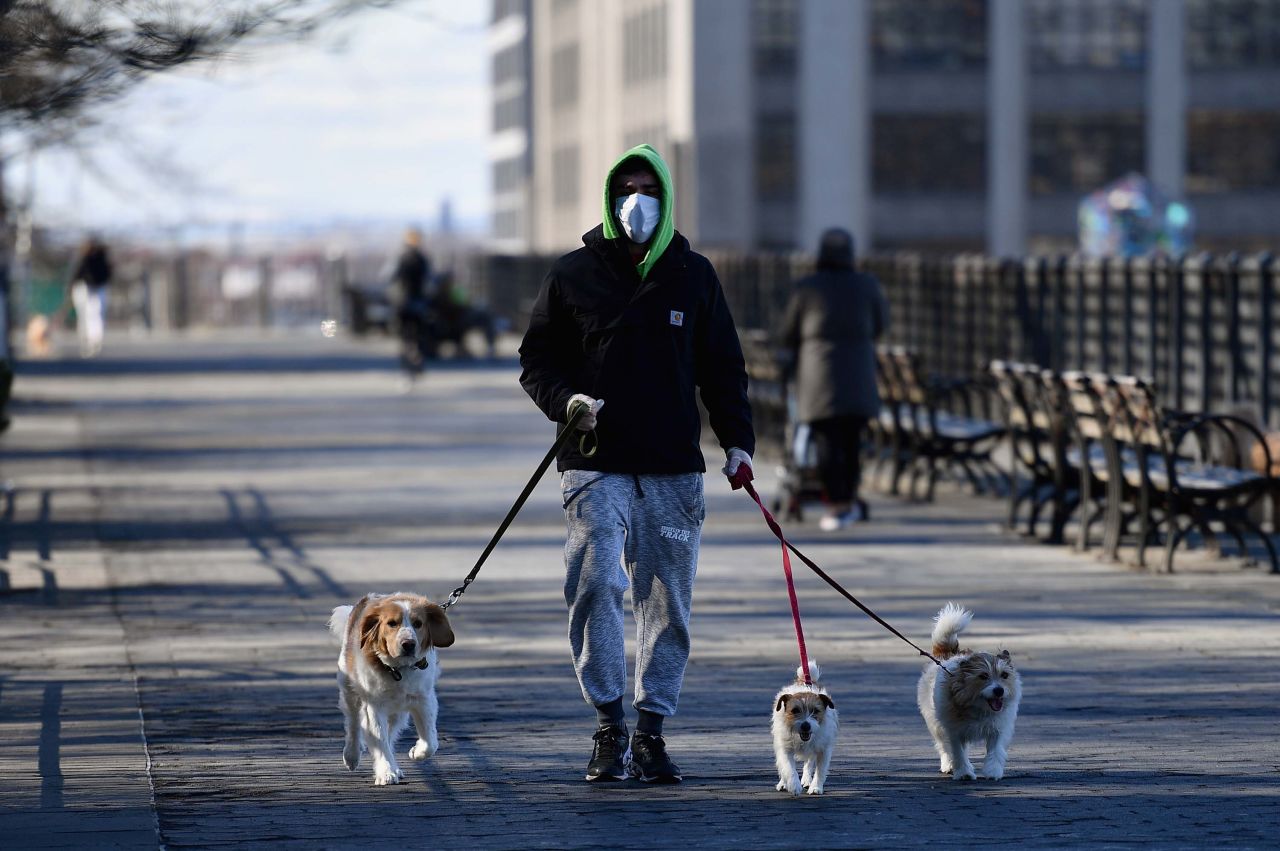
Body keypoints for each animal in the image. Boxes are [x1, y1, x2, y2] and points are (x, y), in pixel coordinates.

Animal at [325, 591, 455, 783]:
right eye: (392, 623)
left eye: (418, 623)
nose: (408, 644)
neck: (398, 669)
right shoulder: (374, 705)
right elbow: (379, 738)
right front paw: (386, 771)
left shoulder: (423, 699)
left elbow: (430, 740)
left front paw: (416, 752)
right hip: (349, 691)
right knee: (354, 723)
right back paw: (351, 755)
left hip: (398, 712)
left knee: (391, 731)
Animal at [768, 660, 839, 793]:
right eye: (795, 710)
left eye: (815, 711)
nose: (806, 726)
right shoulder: (785, 748)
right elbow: (788, 768)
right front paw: (794, 785)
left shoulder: (823, 749)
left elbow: (820, 770)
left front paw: (815, 787)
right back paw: (783, 783)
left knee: (809, 763)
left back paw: (807, 780)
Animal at [916, 601, 1024, 778]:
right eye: (983, 676)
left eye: (1004, 675)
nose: (999, 690)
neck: (978, 707)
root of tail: (946, 656)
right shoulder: (953, 730)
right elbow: (957, 751)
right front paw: (964, 773)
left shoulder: (998, 729)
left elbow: (995, 750)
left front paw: (993, 771)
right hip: (936, 725)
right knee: (943, 747)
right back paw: (948, 764)